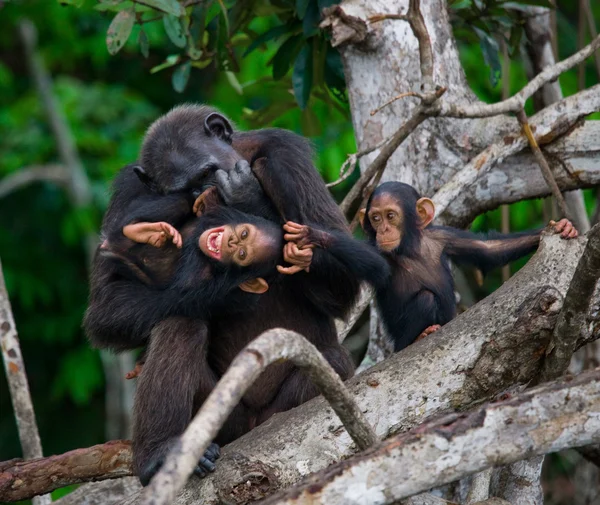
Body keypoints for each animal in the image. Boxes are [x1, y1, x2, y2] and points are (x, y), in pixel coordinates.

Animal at [358, 181, 580, 350]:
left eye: (390, 216)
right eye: (375, 218)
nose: (383, 230)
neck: (410, 248)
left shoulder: (444, 236)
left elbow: (488, 250)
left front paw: (561, 226)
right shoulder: (377, 251)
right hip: (399, 344)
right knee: (425, 299)